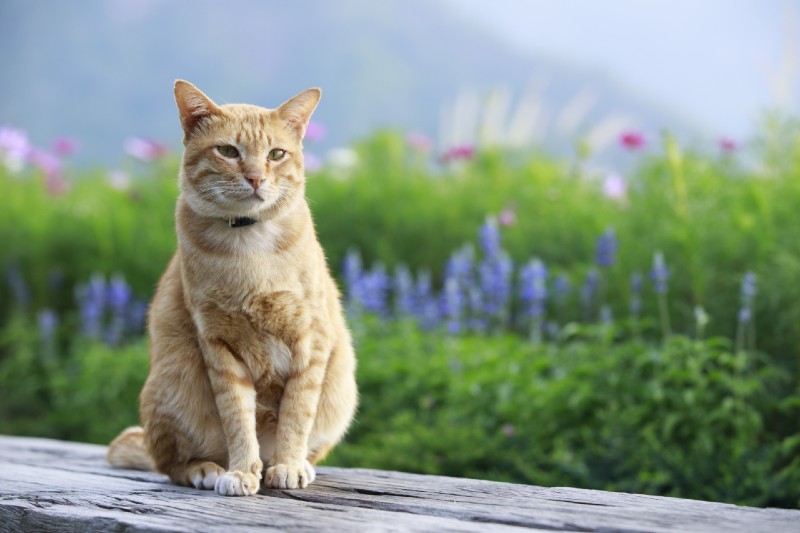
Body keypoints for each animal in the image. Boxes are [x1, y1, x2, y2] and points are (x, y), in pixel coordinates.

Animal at [106, 79, 356, 494]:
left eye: (276, 154)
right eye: (227, 151)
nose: (256, 178)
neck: (248, 245)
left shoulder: (310, 340)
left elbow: (296, 414)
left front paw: (288, 464)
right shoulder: (219, 346)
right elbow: (237, 417)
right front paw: (241, 471)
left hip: (341, 392)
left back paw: (293, 464)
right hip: (174, 380)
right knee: (169, 462)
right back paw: (207, 470)